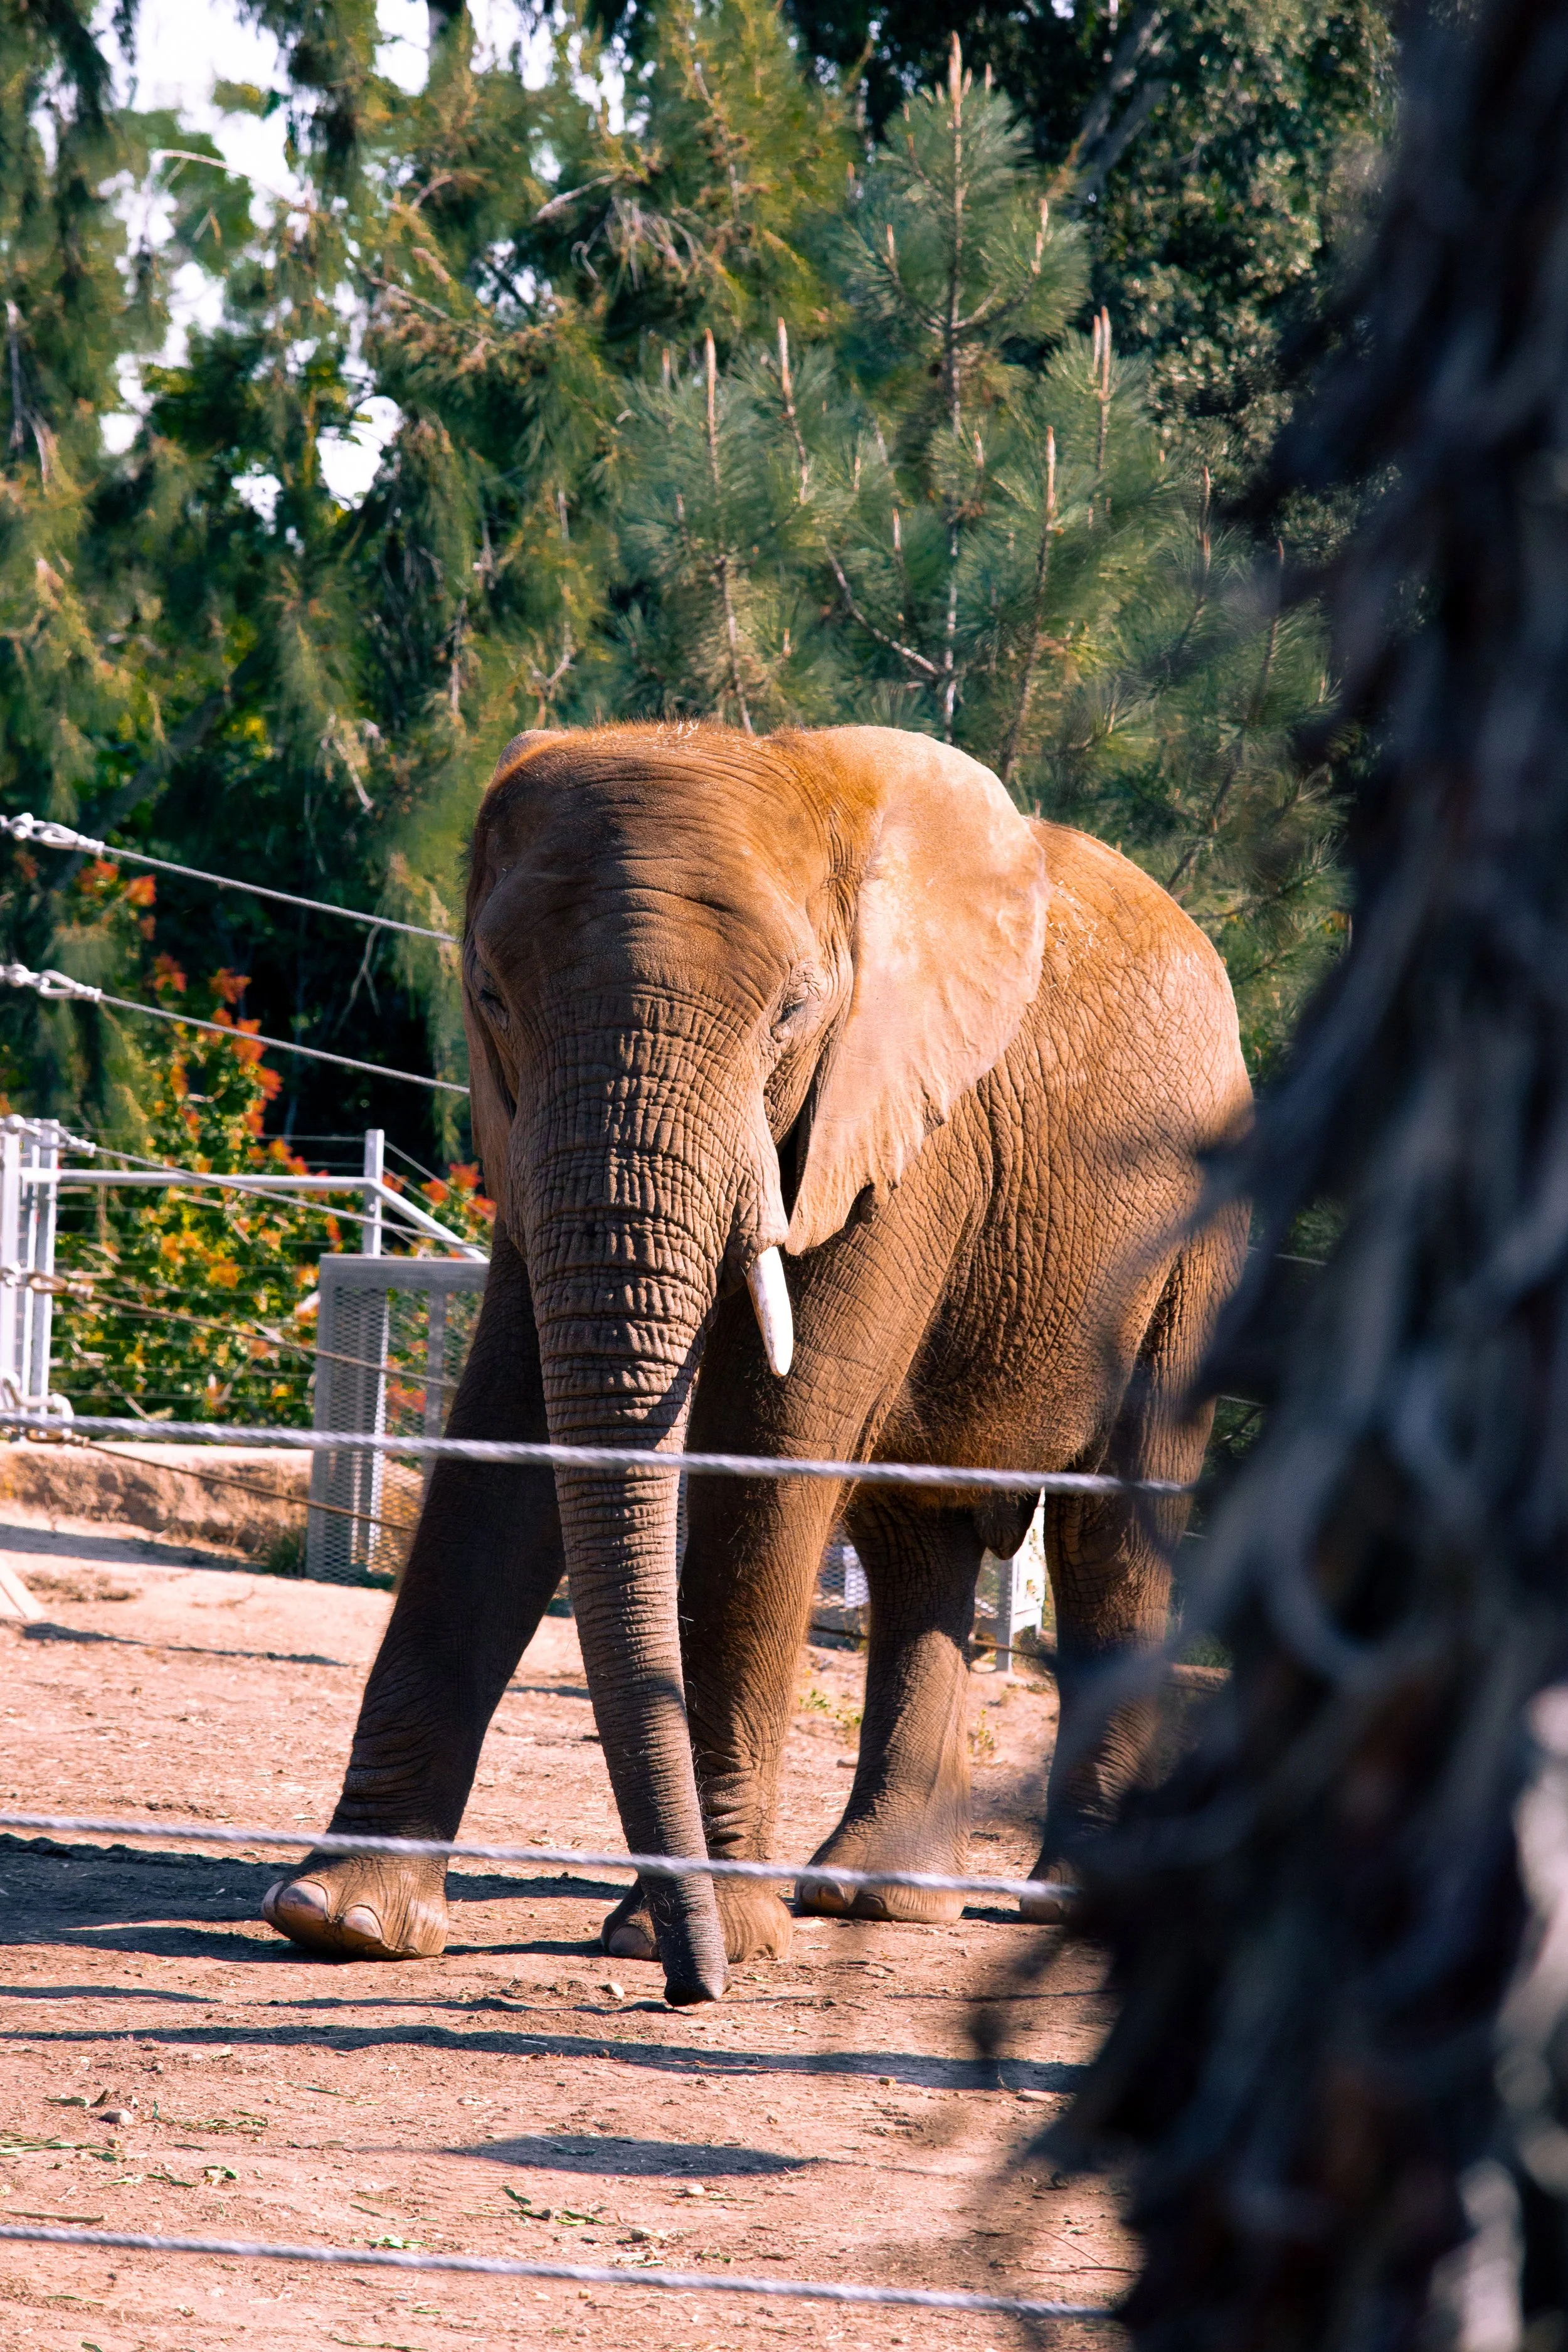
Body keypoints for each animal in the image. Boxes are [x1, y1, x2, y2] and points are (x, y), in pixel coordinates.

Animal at [262, 721, 1250, 2005]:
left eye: (792, 1013)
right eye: (489, 996)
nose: (696, 1989)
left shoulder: (895, 1137)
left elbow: (766, 1442)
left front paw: (698, 1935)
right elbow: (507, 1434)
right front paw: (341, 1919)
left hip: (1199, 1239)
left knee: (1111, 1530)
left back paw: (1062, 1907)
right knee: (916, 1538)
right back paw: (871, 1899)